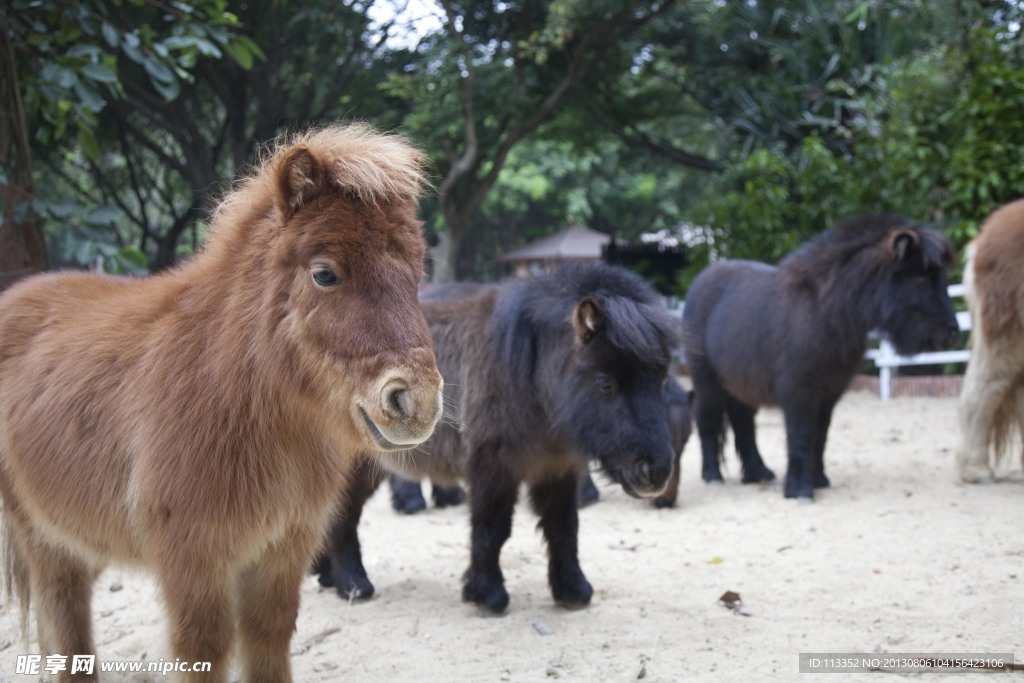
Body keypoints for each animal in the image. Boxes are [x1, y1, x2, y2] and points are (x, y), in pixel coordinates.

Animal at [0, 125, 442, 679]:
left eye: (417, 273)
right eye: (325, 274)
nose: (416, 402)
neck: (233, 397)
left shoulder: (280, 556)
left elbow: (268, 644)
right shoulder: (194, 564)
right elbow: (203, 651)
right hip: (43, 542)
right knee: (64, 626)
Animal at [315, 264, 675, 614]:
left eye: (661, 378)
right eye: (604, 382)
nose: (655, 473)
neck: (525, 375)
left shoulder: (556, 468)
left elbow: (563, 527)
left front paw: (572, 590)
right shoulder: (493, 468)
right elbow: (492, 529)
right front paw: (487, 594)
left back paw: (327, 575)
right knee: (342, 519)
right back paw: (353, 584)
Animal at [679, 216, 958, 499]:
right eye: (922, 276)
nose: (951, 333)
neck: (824, 313)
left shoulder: (828, 393)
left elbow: (820, 436)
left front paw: (818, 479)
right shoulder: (800, 391)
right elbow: (801, 434)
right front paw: (800, 490)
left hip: (740, 385)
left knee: (743, 423)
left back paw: (759, 472)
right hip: (708, 383)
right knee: (708, 422)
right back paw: (713, 475)